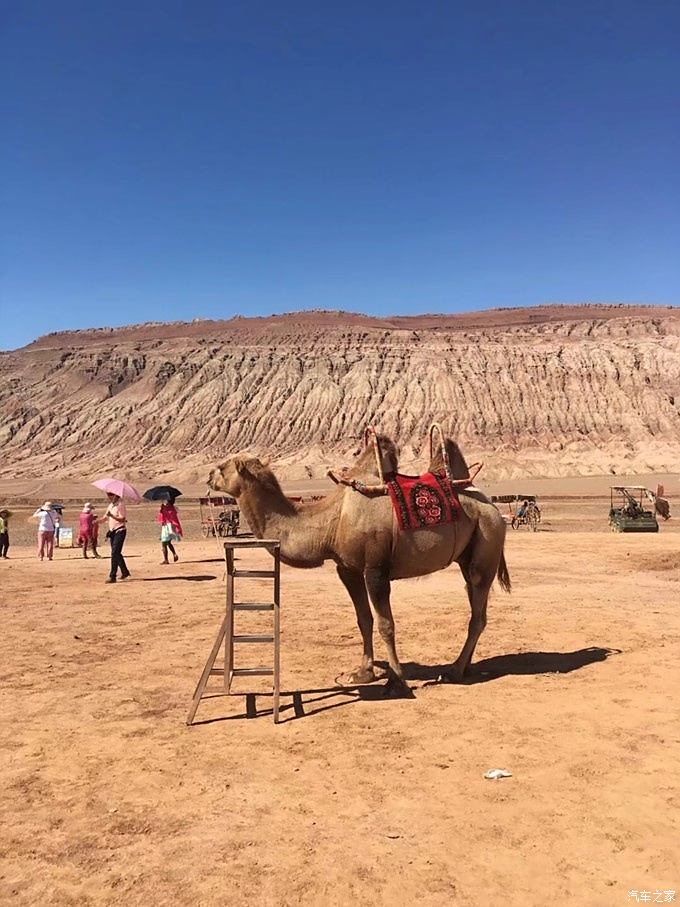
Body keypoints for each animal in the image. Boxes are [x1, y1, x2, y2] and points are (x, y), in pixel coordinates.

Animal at [207, 436, 510, 700]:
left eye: (222, 467)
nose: (209, 477)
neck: (332, 522)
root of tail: (494, 508)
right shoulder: (348, 569)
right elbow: (363, 619)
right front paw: (364, 672)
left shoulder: (375, 569)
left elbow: (386, 624)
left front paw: (396, 681)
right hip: (468, 556)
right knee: (475, 605)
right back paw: (464, 667)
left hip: (487, 540)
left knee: (477, 610)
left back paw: (454, 671)